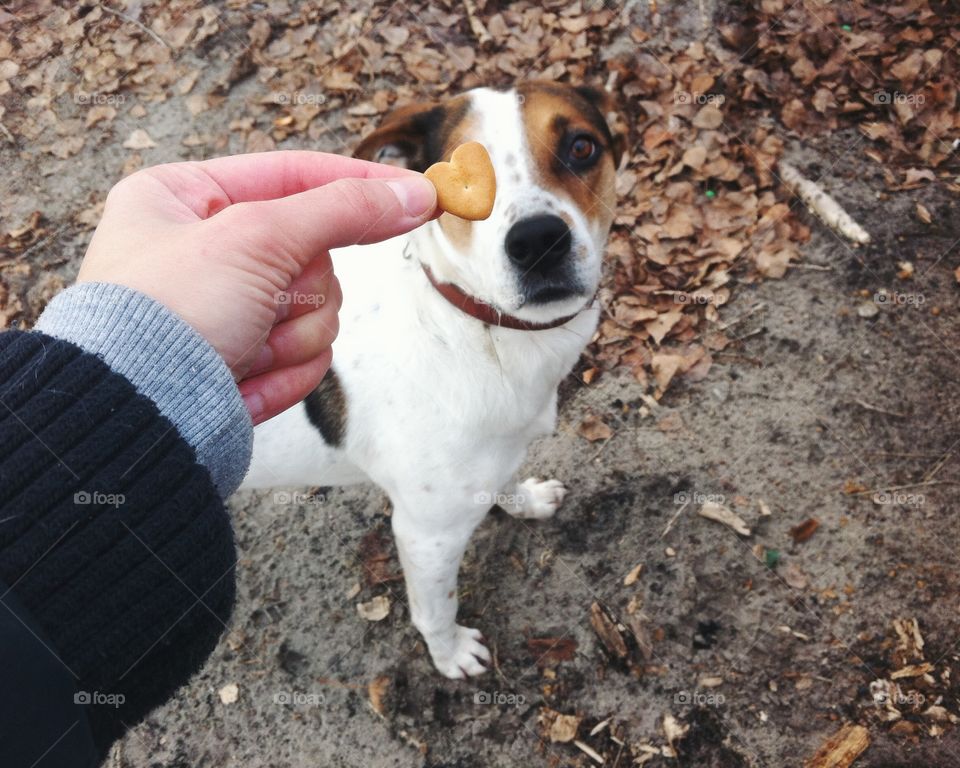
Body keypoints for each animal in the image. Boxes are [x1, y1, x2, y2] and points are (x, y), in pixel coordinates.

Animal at [242, 81, 624, 676]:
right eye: (463, 171)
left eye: (581, 147)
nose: (538, 241)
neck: (478, 327)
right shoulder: (427, 535)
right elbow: (435, 608)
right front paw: (451, 655)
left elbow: (505, 481)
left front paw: (527, 502)